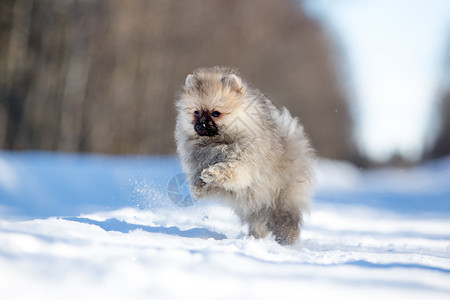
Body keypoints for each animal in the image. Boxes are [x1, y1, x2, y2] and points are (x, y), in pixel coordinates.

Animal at [174, 67, 314, 245]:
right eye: (196, 113)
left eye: (216, 113)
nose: (201, 125)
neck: (217, 143)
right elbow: (203, 181)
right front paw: (199, 187)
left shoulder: (244, 164)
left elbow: (228, 170)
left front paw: (212, 173)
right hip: (255, 208)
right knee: (259, 224)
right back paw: (255, 238)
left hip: (283, 199)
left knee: (287, 220)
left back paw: (286, 240)